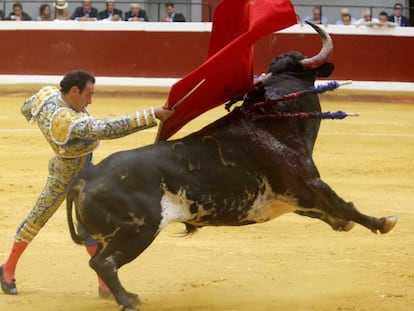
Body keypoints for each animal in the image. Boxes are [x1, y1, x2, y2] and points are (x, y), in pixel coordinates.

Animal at [66, 23, 396, 311]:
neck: (272, 118)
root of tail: (86, 178)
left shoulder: (297, 198)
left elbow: (331, 211)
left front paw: (348, 224)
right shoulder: (309, 183)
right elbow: (344, 204)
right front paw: (383, 222)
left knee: (100, 260)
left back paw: (129, 296)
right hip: (138, 229)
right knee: (103, 262)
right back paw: (129, 302)